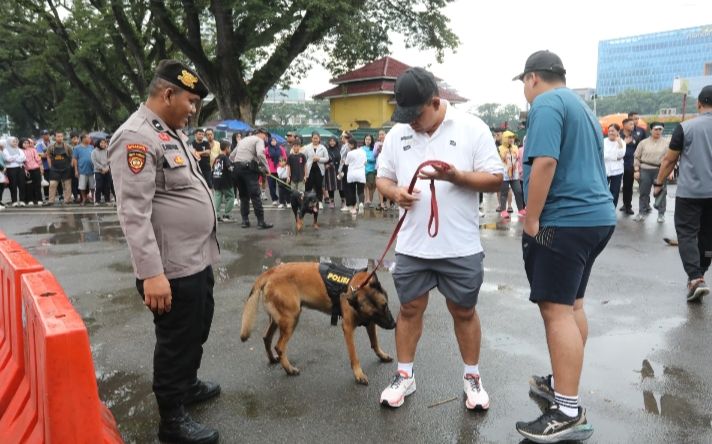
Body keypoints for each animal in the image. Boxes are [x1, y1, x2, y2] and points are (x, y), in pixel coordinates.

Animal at [238, 262, 394, 384]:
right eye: (375, 312)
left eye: (385, 306)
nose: (393, 325)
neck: (356, 286)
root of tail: (271, 271)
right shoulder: (349, 328)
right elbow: (354, 356)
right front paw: (359, 374)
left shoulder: (370, 323)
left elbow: (375, 343)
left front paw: (382, 355)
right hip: (291, 319)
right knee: (279, 346)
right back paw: (289, 369)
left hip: (279, 320)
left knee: (266, 338)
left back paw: (272, 359)